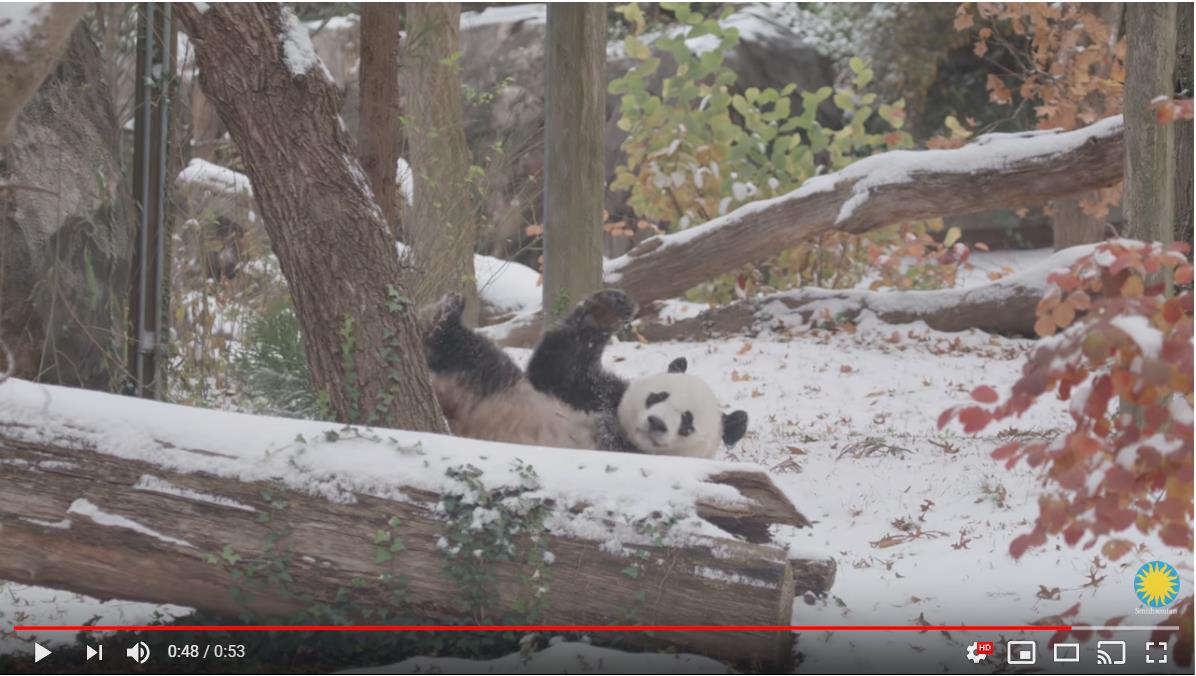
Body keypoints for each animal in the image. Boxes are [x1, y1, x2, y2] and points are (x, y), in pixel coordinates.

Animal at [416, 287, 741, 457]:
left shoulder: (616, 447)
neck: (621, 428)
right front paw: (608, 309)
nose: (657, 423)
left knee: (476, 357)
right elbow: (556, 367)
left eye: (687, 422)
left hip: (488, 389)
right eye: (658, 396)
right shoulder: (593, 394)